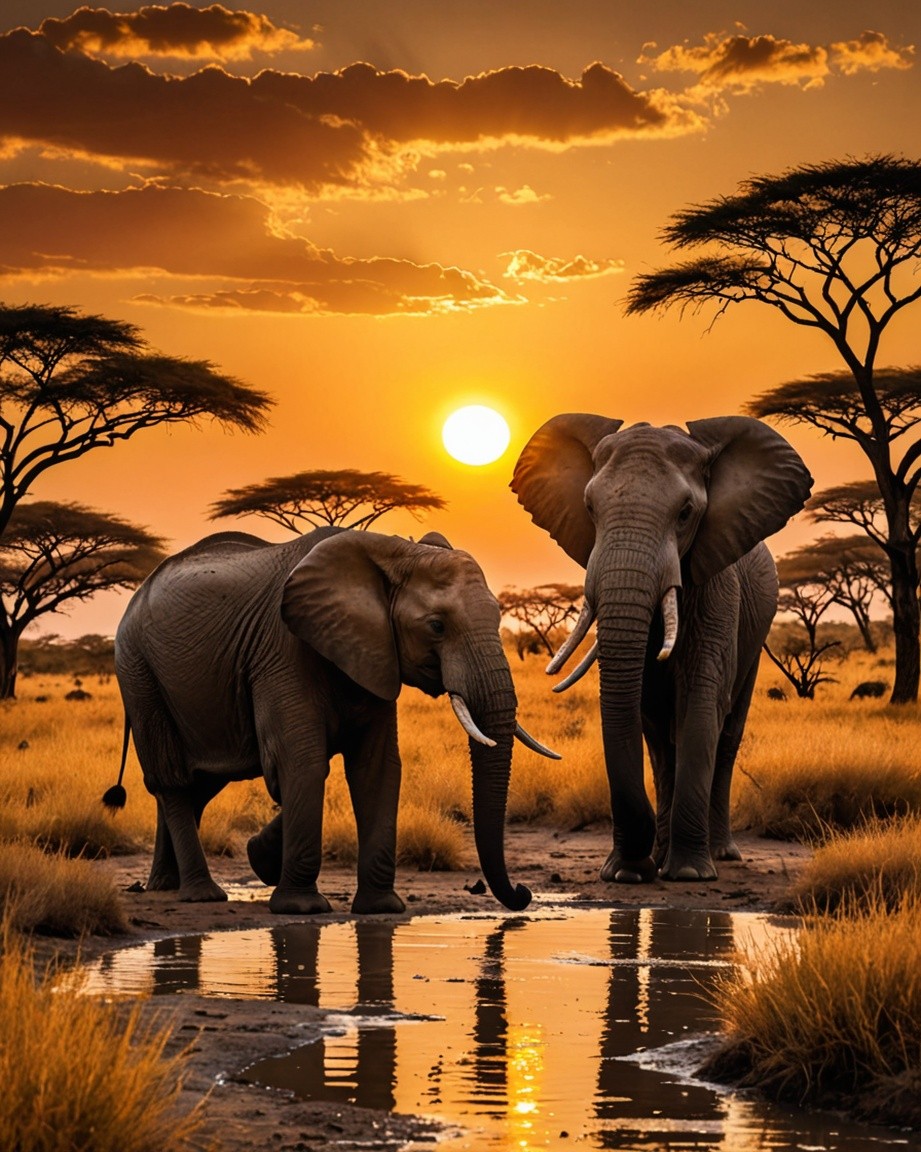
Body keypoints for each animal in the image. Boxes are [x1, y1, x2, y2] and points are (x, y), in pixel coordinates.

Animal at [105, 526, 554, 914]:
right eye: (437, 626)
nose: (523, 892)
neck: (391, 551)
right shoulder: (282, 651)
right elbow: (299, 762)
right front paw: (299, 906)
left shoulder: (375, 653)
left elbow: (376, 768)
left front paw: (379, 908)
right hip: (138, 672)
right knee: (172, 780)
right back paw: (201, 894)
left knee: (199, 784)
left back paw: (165, 885)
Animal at [512, 414, 812, 883]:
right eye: (590, 508)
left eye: (686, 513)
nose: (635, 862)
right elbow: (643, 711)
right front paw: (626, 873)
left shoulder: (718, 587)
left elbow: (701, 701)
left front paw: (687, 873)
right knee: (661, 742)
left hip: (758, 631)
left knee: (727, 733)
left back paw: (718, 854)